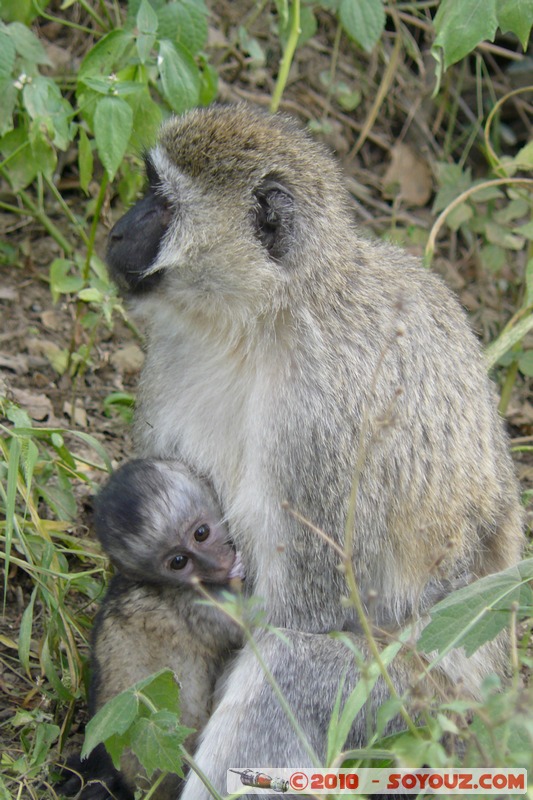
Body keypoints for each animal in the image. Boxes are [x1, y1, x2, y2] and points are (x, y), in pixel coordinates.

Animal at [105, 103, 524, 796]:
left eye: (161, 203)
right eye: (147, 188)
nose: (114, 232)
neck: (265, 319)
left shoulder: (326, 419)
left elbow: (303, 613)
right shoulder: (173, 357)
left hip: (418, 707)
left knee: (294, 666)